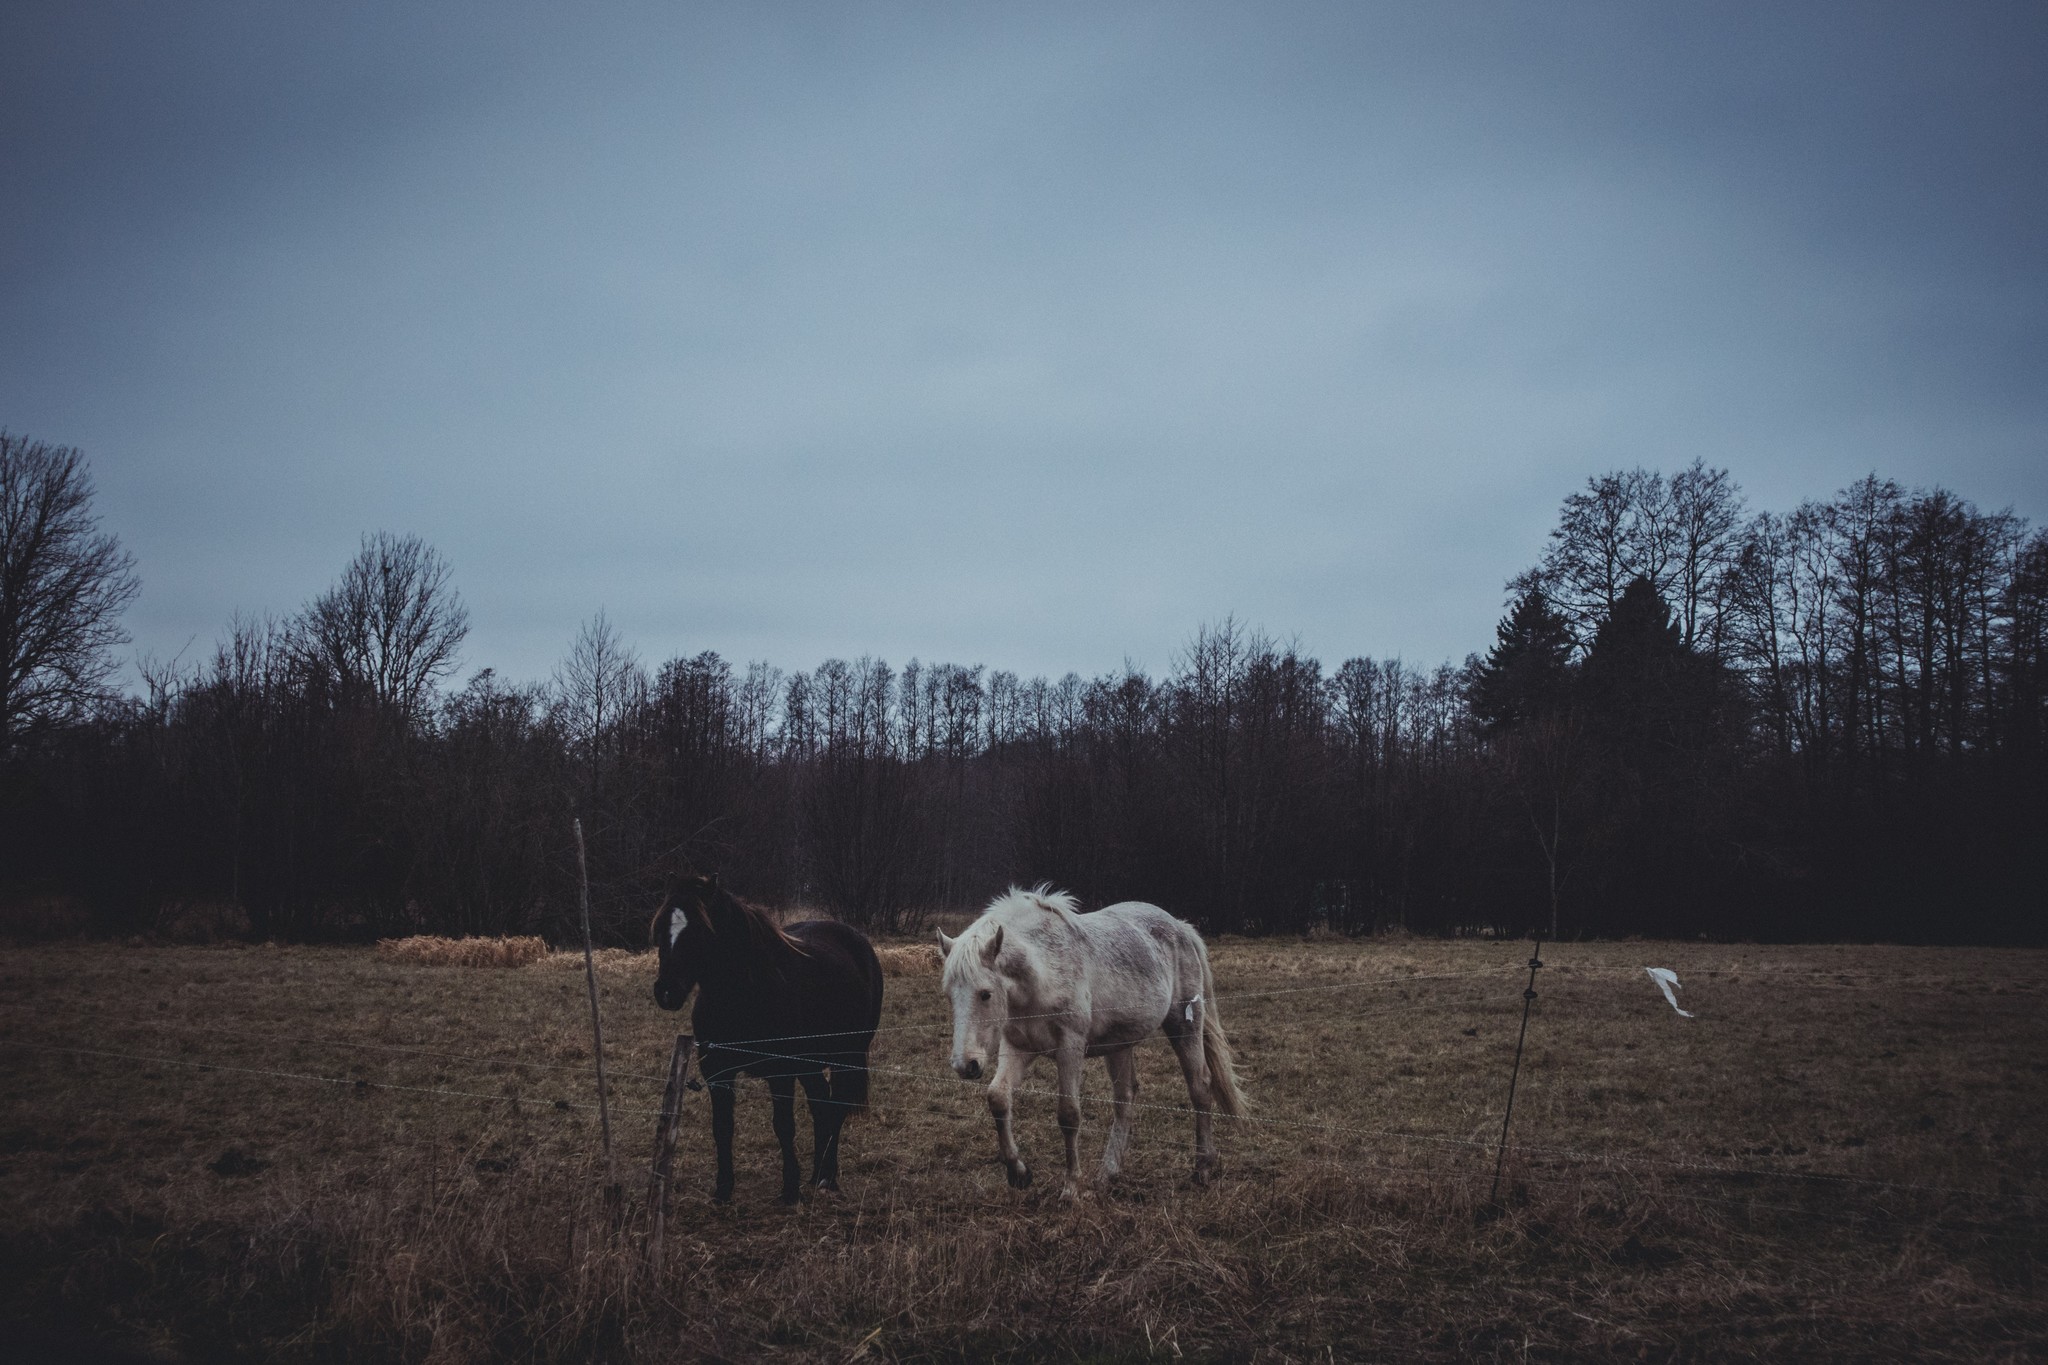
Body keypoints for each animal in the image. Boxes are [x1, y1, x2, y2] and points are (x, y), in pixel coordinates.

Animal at [651, 879, 884, 1203]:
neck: (745, 993)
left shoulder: (780, 1072)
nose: (666, 991)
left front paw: (789, 1191)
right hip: (810, 1064)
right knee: (821, 1104)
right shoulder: (717, 1072)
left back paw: (828, 1177)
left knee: (835, 1108)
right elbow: (722, 1127)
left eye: (698, 930)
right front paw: (723, 1189)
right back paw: (817, 1175)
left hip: (846, 1058)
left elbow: (783, 1126)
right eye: (661, 928)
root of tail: (861, 944)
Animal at [933, 888, 1245, 1195]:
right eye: (948, 994)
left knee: (1200, 1087)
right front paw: (1019, 1172)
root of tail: (1181, 928)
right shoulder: (1018, 1048)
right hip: (1120, 1044)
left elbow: (1069, 1115)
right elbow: (998, 1098)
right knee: (1125, 1098)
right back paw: (1108, 1173)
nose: (965, 1065)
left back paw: (1202, 1168)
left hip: (1184, 1025)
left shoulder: (1070, 1047)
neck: (1043, 970)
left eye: (985, 994)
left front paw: (1071, 1187)